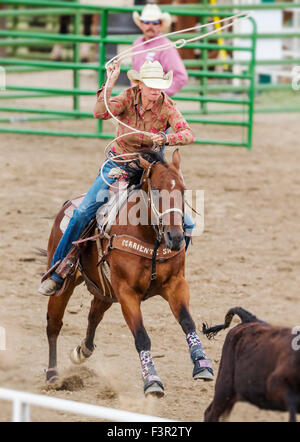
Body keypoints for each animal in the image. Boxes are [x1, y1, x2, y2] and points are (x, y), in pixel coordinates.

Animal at [44, 149, 213, 398]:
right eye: (156, 190)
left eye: (183, 190)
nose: (175, 238)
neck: (150, 239)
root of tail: (68, 205)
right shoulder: (127, 293)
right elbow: (142, 336)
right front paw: (152, 380)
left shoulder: (176, 284)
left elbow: (187, 321)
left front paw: (202, 364)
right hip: (65, 285)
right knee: (54, 324)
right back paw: (53, 376)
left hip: (105, 291)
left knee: (94, 314)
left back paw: (82, 351)